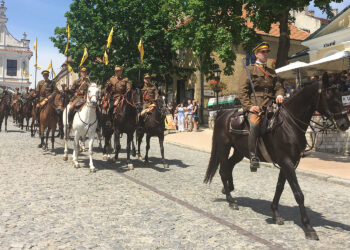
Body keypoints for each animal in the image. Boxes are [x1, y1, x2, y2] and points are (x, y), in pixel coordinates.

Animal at [204, 72, 348, 240]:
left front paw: (275, 213)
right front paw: (308, 227)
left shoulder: (290, 162)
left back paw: (229, 190)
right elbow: (298, 193)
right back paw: (231, 200)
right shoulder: (286, 162)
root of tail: (223, 113)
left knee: (228, 167)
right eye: (331, 96)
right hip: (224, 147)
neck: (289, 124)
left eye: (341, 95)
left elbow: (280, 187)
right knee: (222, 170)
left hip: (240, 151)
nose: (345, 124)